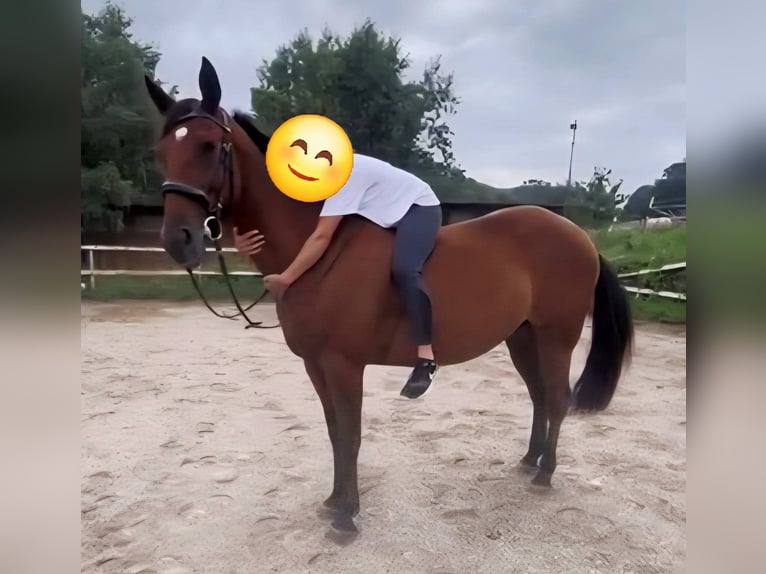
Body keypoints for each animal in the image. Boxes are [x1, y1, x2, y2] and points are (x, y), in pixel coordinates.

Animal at [144, 57, 634, 533]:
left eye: (209, 146)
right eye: (162, 152)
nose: (178, 240)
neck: (320, 255)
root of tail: (579, 235)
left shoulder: (344, 365)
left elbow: (350, 435)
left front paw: (347, 516)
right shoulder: (316, 366)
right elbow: (333, 432)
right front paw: (334, 501)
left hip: (556, 337)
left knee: (556, 397)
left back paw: (545, 472)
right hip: (522, 336)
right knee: (538, 396)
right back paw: (530, 461)